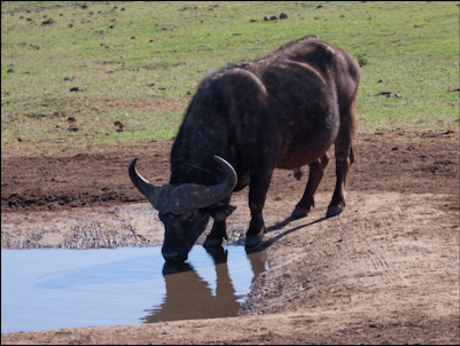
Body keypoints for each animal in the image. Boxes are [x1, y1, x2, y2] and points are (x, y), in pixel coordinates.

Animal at [128, 35, 360, 262]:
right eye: (162, 218)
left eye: (190, 217)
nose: (170, 254)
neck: (226, 116)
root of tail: (346, 57)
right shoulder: (227, 174)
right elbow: (223, 202)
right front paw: (215, 236)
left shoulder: (263, 166)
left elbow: (255, 201)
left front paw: (254, 233)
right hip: (311, 141)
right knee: (320, 163)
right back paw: (303, 205)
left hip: (346, 116)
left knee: (343, 162)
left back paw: (336, 204)